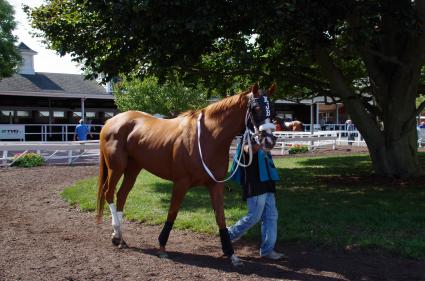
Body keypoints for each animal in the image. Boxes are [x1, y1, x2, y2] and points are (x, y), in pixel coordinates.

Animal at [95, 82, 276, 264]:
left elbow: (220, 217)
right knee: (108, 192)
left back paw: (119, 237)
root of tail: (111, 121)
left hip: (133, 168)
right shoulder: (181, 183)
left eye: (272, 110)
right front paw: (162, 247)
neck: (207, 138)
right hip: (116, 167)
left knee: (122, 194)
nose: (269, 140)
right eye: (255, 108)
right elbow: (172, 213)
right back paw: (116, 234)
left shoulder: (215, 184)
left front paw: (231, 253)